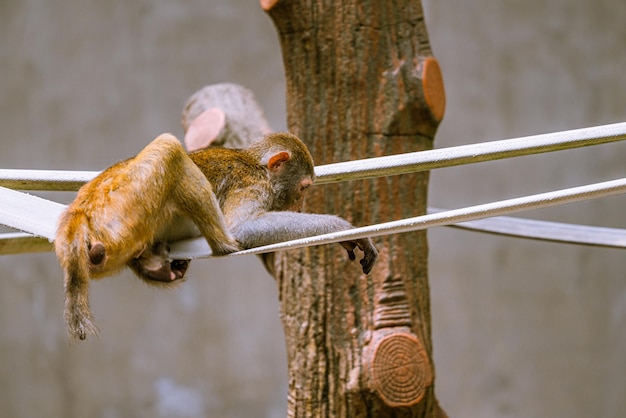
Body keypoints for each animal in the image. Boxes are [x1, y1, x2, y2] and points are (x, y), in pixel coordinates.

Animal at [54, 132, 376, 342]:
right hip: (125, 206)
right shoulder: (252, 184)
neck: (257, 167)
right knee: (169, 149)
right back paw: (223, 244)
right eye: (304, 188)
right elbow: (243, 227)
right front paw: (340, 227)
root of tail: (82, 207)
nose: (299, 207)